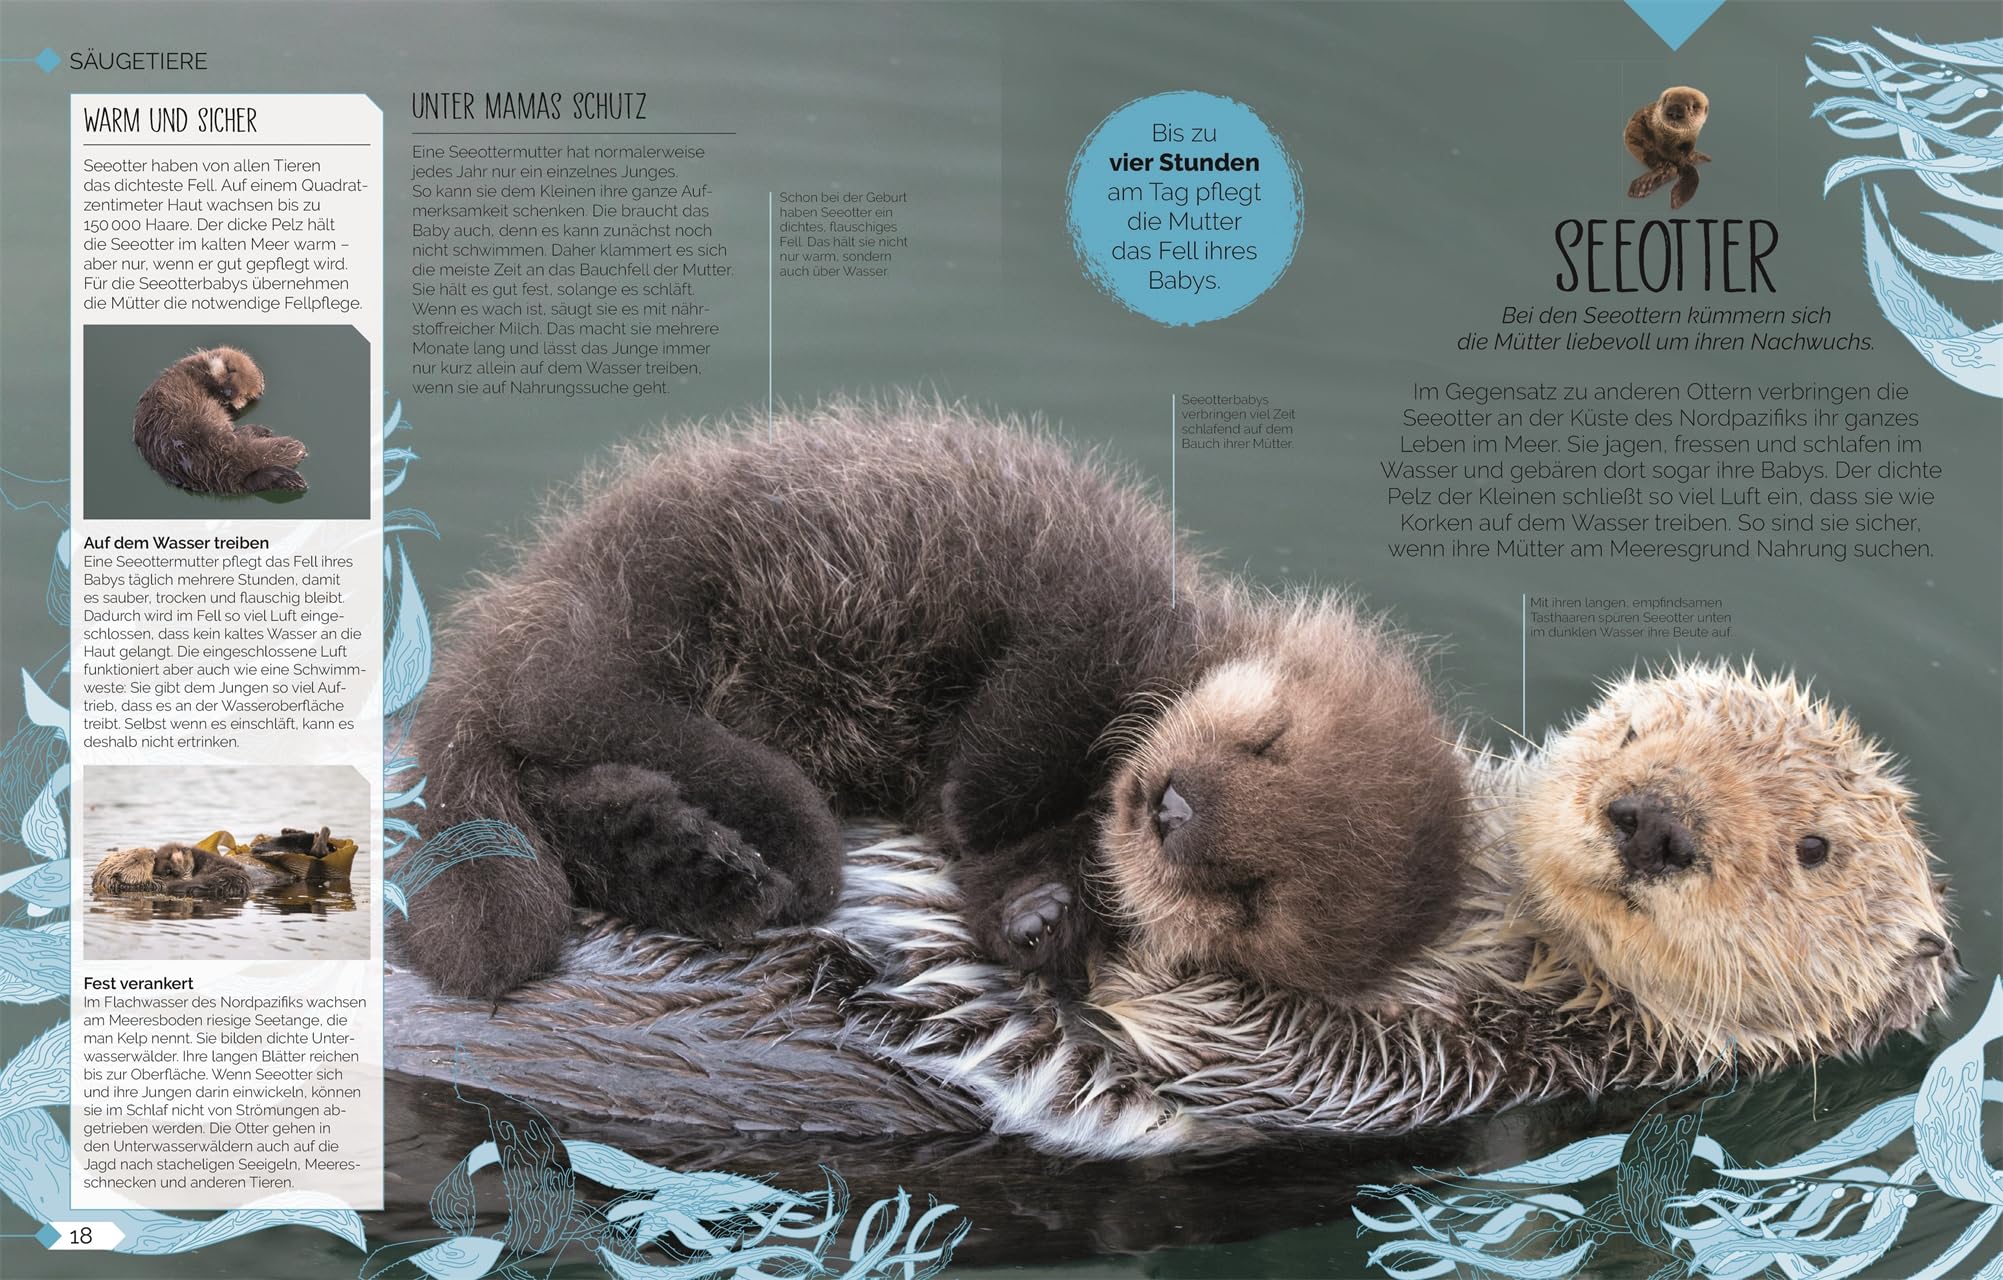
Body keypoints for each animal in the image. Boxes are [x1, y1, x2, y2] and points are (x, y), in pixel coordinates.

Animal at [385, 662, 1955, 1156]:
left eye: (1815, 846)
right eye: (1633, 728)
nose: (1650, 818)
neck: (1493, 921)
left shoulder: (1450, 1071)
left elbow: (1216, 1032)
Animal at [401, 402, 1470, 1003]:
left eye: (1249, 895)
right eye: (1268, 743)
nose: (1170, 806)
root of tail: (522, 599)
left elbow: (995, 866)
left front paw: (1042, 921)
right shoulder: (1103, 603)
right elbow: (1033, 699)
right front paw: (979, 806)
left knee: (560, 780)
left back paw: (689, 860)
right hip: (654, 590)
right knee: (563, 695)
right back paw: (778, 836)